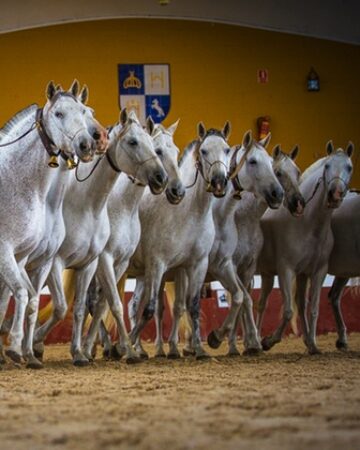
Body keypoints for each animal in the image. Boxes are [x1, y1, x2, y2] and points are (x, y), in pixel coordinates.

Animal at [0, 81, 97, 366]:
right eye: (58, 114)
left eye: (84, 111)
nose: (86, 145)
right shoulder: (5, 252)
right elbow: (21, 294)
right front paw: (15, 347)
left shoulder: (24, 258)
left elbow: (28, 299)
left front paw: (28, 353)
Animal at [32, 109, 167, 366]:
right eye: (132, 142)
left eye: (152, 144)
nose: (161, 178)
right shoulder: (71, 261)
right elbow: (72, 306)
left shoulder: (102, 263)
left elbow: (92, 307)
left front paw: (84, 351)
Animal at [82, 118, 186, 360]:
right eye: (158, 150)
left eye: (176, 152)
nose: (175, 189)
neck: (123, 206)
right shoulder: (109, 261)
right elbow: (119, 304)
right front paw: (124, 348)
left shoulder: (133, 265)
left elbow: (119, 306)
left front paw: (127, 346)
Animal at [258, 142, 352, 354]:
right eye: (327, 166)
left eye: (349, 167)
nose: (335, 194)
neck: (308, 225)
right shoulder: (286, 270)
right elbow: (288, 310)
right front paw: (270, 341)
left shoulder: (315, 271)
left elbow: (311, 308)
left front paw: (312, 344)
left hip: (268, 274)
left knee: (262, 303)